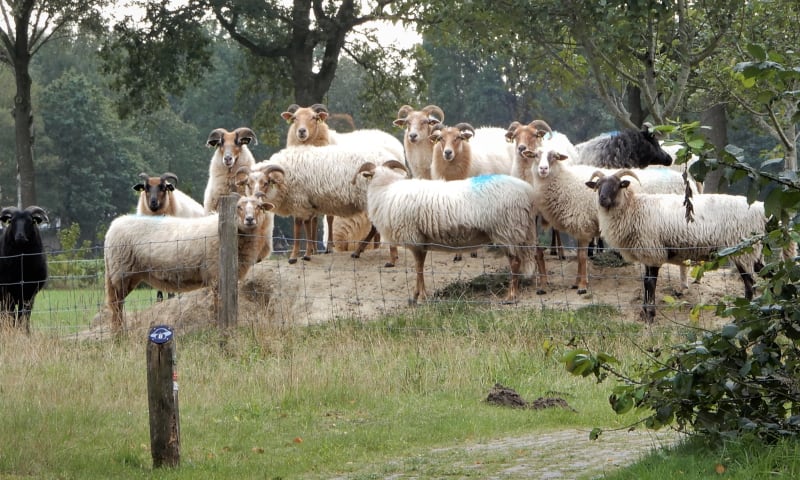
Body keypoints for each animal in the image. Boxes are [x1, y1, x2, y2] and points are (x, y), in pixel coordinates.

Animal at [0, 206, 48, 334]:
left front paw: (25, 332)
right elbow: (10, 314)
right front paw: (11, 331)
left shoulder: (29, 294)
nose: (20, 237)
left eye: (31, 221)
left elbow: (24, 315)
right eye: (12, 221)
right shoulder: (7, 293)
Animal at [104, 193, 274, 332]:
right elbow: (217, 304)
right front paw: (218, 327)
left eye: (259, 207)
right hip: (121, 271)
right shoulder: (216, 275)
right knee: (116, 304)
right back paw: (118, 334)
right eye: (238, 207)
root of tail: (113, 226)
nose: (250, 220)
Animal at [238, 144, 400, 268]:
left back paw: (360, 251)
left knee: (376, 226)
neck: (285, 178)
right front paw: (309, 253)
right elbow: (308, 226)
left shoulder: (299, 201)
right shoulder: (309, 204)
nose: (256, 197)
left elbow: (298, 228)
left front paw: (295, 257)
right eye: (248, 184)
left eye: (266, 183)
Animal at [356, 161, 552, 304]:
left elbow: (419, 268)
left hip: (506, 229)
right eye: (371, 176)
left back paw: (511, 296)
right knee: (538, 252)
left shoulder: (415, 238)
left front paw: (420, 296)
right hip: (524, 229)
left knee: (516, 262)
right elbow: (420, 267)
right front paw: (418, 295)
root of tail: (528, 192)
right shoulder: (422, 240)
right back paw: (542, 286)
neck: (386, 189)